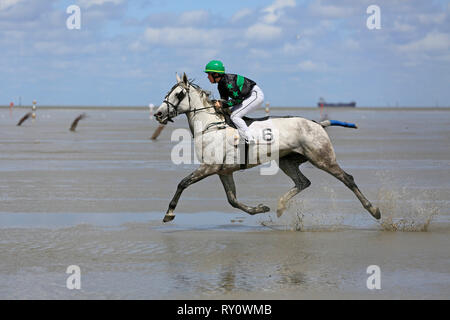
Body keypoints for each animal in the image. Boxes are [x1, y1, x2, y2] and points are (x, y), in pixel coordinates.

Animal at [155, 72, 380, 222]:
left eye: (178, 95)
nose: (158, 114)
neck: (211, 126)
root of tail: (318, 123)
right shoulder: (223, 171)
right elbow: (232, 200)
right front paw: (261, 209)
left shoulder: (209, 167)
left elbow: (183, 183)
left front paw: (169, 213)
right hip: (287, 161)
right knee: (303, 182)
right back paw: (280, 206)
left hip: (322, 158)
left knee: (347, 179)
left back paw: (374, 210)